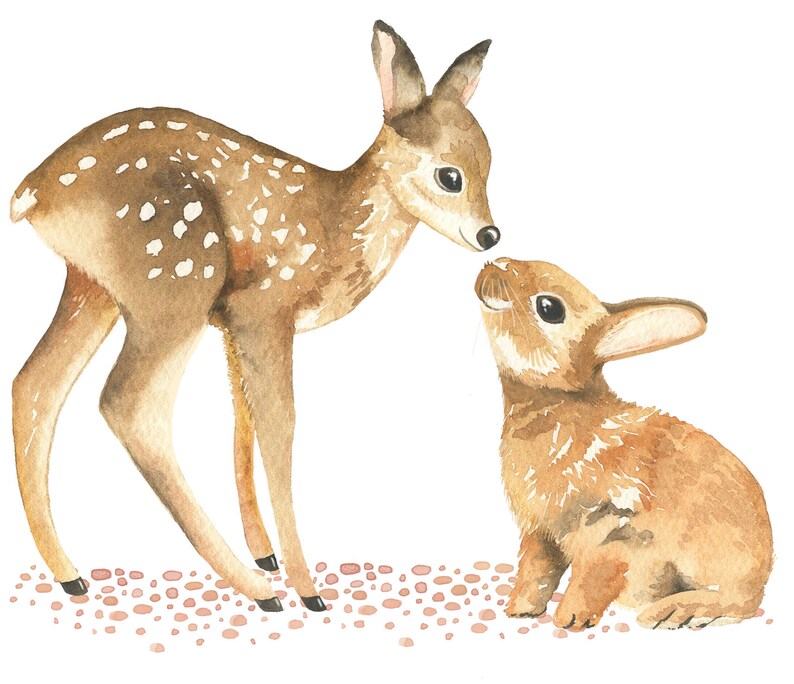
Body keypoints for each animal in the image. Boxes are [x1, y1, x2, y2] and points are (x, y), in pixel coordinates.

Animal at [475, 258, 773, 630]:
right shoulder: (541, 534)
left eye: (549, 308)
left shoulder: (606, 529)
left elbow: (590, 577)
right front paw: (519, 610)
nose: (492, 266)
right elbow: (536, 573)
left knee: (737, 602)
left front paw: (569, 620)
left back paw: (672, 612)